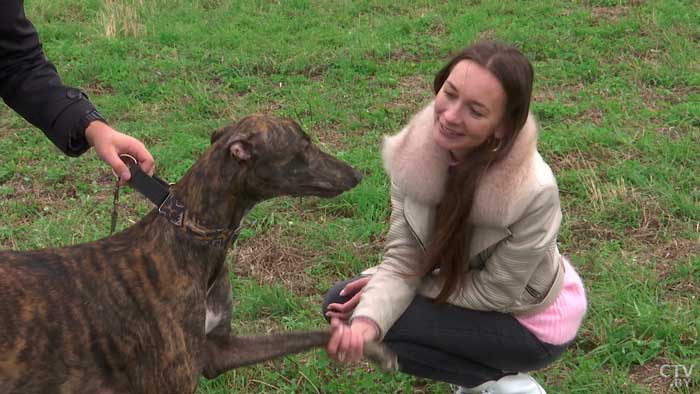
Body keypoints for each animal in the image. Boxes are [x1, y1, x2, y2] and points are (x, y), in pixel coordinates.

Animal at [0, 114, 394, 394]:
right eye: (304, 146)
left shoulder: (219, 351)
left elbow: (309, 334)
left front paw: (372, 348)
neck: (189, 237)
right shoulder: (172, 381)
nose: (357, 174)